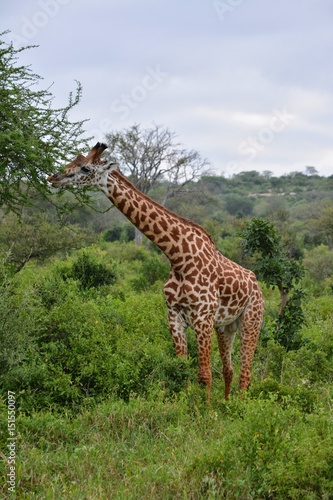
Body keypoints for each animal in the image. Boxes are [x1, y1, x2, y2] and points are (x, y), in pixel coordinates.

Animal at [48, 143, 264, 400]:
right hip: (225, 326)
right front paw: (187, 404)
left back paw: (238, 406)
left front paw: (206, 410)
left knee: (245, 373)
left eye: (85, 168)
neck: (178, 256)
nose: (54, 177)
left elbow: (204, 375)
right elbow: (181, 369)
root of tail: (257, 284)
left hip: (251, 320)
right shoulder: (174, 316)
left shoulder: (202, 318)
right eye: (74, 160)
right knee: (229, 369)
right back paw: (227, 402)